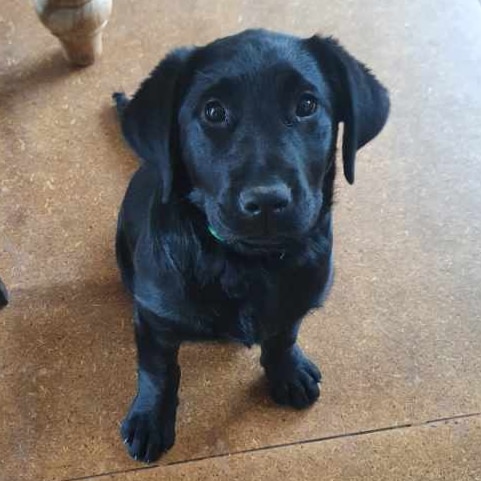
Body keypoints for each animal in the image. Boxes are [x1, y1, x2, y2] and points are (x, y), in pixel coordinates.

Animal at [114, 29, 388, 462]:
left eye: (306, 105)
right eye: (213, 112)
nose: (267, 201)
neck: (246, 263)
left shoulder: (298, 300)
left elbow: (283, 335)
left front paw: (288, 372)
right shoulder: (153, 317)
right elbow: (157, 370)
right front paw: (150, 418)